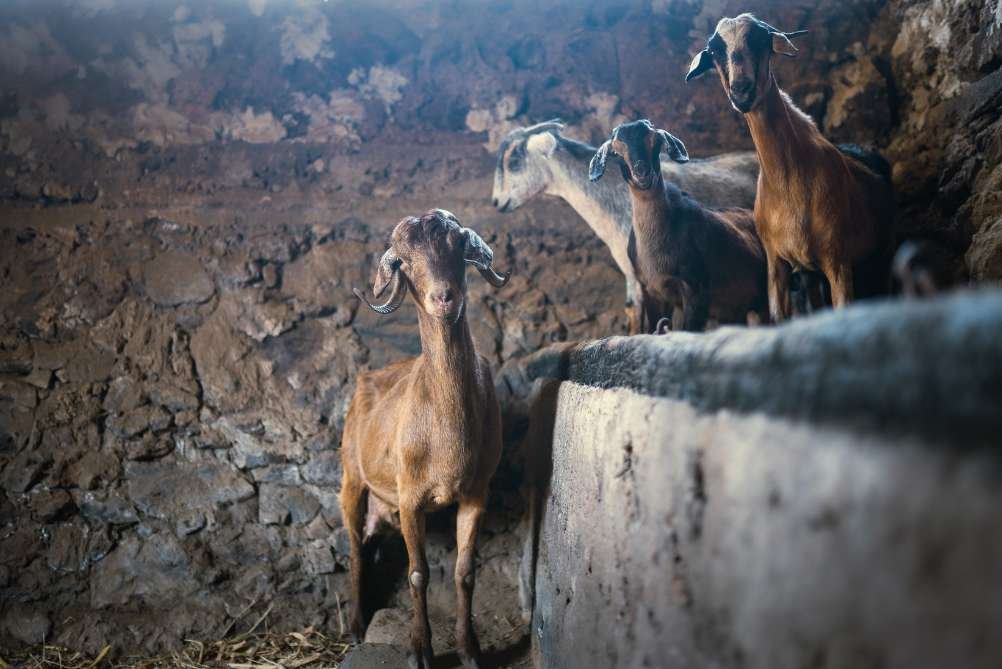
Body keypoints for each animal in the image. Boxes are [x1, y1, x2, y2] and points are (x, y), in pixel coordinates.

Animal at [342, 209, 513, 669]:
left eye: (458, 245)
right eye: (405, 261)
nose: (444, 298)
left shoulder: (477, 494)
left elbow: (465, 572)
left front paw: (470, 650)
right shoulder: (410, 499)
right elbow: (418, 573)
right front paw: (420, 650)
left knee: (368, 542)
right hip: (351, 478)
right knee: (354, 549)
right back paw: (355, 625)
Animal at [689, 11, 893, 320]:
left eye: (760, 38)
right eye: (714, 51)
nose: (741, 90)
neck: (789, 180)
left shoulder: (838, 258)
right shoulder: (777, 263)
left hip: (881, 249)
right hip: (811, 273)